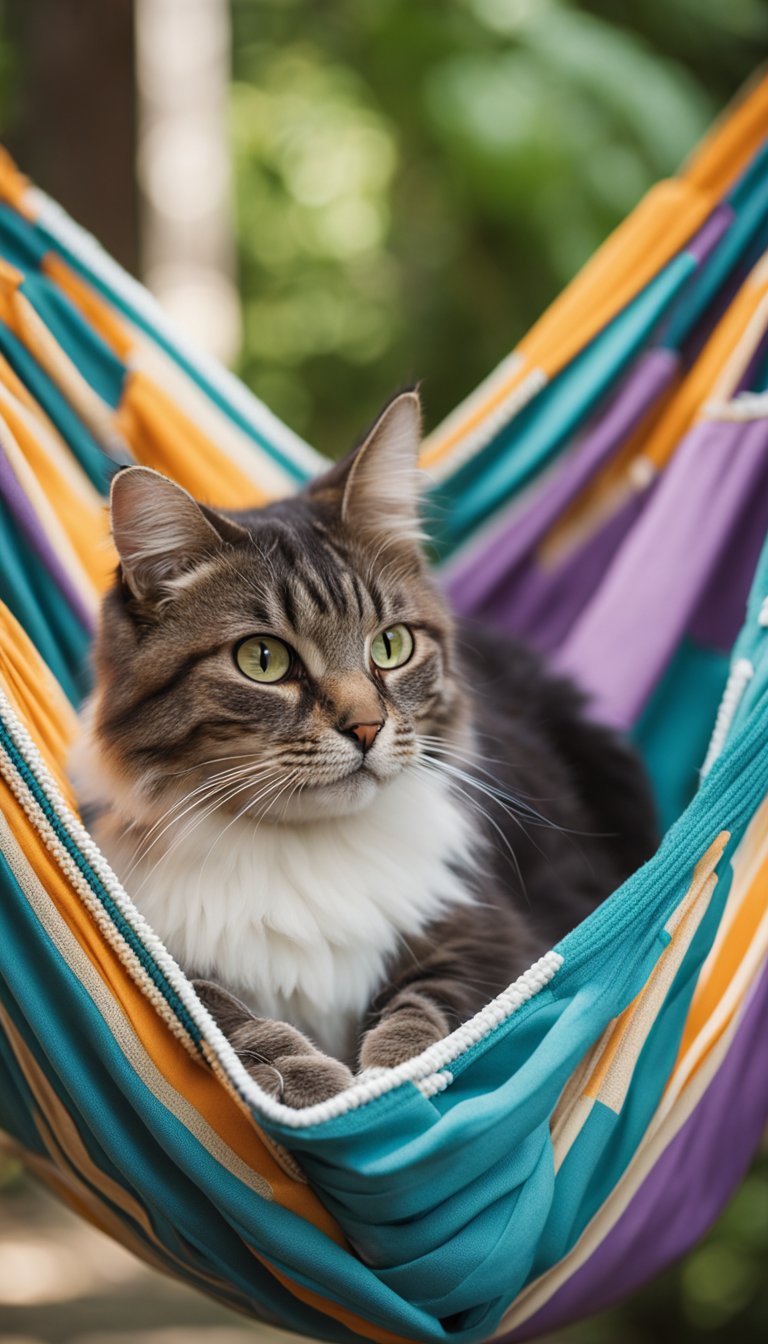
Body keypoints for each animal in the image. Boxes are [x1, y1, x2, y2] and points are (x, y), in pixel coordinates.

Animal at [71, 392, 659, 1107]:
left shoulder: (495, 931)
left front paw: (386, 1077)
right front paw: (308, 1082)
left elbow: (434, 1007)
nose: (366, 727)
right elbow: (223, 1017)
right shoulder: (160, 957)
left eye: (391, 645)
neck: (305, 848)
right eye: (262, 660)